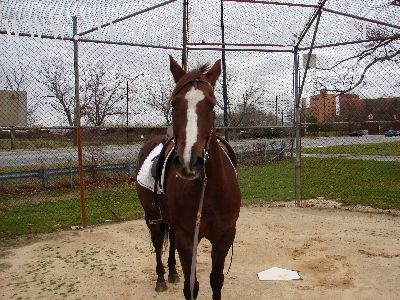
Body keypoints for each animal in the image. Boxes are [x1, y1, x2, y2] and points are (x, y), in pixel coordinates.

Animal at [136, 56, 241, 300]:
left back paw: (173, 272)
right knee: (158, 244)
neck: (208, 192)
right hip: (153, 217)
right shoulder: (187, 238)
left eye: (212, 104)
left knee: (170, 241)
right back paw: (161, 279)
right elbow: (191, 287)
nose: (189, 162)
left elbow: (216, 280)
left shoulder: (224, 236)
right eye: (175, 104)